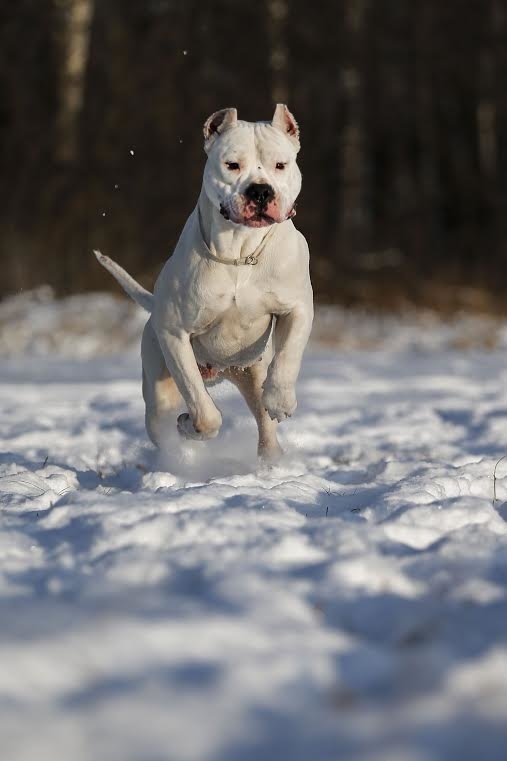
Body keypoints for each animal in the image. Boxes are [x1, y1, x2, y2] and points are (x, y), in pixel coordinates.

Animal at [93, 104, 312, 460]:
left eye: (281, 164)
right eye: (232, 164)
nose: (260, 190)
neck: (239, 253)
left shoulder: (297, 308)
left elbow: (289, 354)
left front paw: (280, 399)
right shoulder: (174, 334)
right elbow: (203, 409)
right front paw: (190, 424)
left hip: (252, 371)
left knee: (262, 417)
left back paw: (271, 457)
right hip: (158, 392)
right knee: (166, 418)